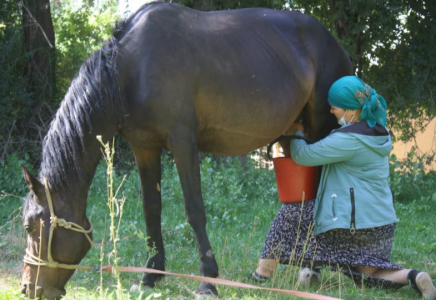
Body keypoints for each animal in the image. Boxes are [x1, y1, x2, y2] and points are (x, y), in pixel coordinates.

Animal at [20, 1, 352, 298]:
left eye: (29, 227)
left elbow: (195, 210)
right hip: (293, 135)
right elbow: (151, 209)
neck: (129, 70)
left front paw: (208, 281)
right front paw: (150, 275)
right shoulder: (145, 147)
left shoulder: (183, 142)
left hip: (322, 130)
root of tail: (333, 42)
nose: (28, 288)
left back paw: (311, 269)